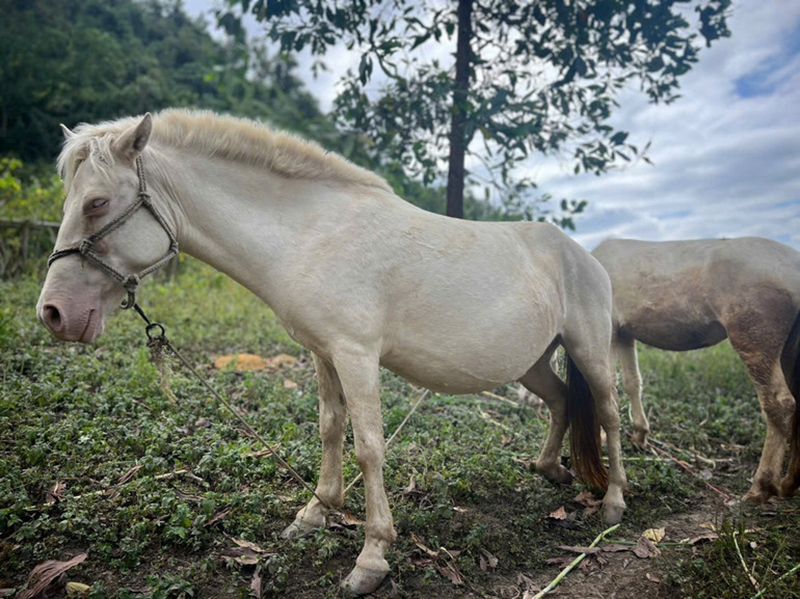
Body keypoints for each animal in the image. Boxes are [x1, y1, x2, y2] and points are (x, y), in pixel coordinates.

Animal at [37, 110, 624, 592]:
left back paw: (615, 501)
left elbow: (369, 447)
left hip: (591, 351)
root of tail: (583, 255)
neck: (310, 235)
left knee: (609, 414)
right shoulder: (323, 353)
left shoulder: (356, 354)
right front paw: (316, 512)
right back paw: (549, 469)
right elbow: (329, 428)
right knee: (561, 402)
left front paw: (371, 557)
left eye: (96, 203)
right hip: (532, 363)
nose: (54, 313)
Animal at [592, 239, 800, 506]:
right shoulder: (626, 333)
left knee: (779, 405)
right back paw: (788, 483)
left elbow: (607, 387)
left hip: (755, 342)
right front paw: (639, 434)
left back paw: (760, 487)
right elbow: (632, 382)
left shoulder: (610, 331)